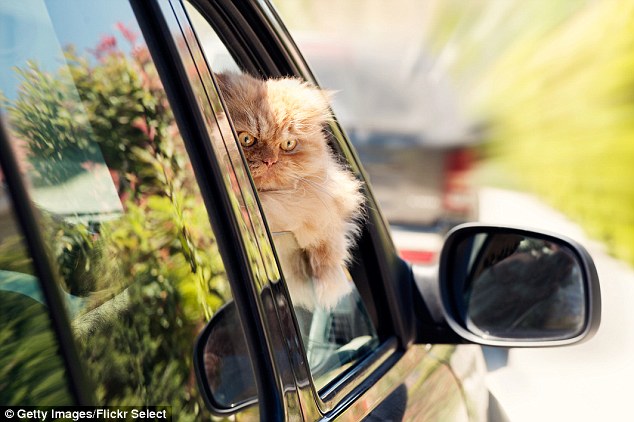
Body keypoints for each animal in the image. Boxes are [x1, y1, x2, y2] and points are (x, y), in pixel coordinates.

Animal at [214, 71, 360, 310]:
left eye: (288, 144)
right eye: (246, 139)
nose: (270, 161)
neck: (277, 202)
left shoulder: (322, 208)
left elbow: (327, 247)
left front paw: (325, 286)